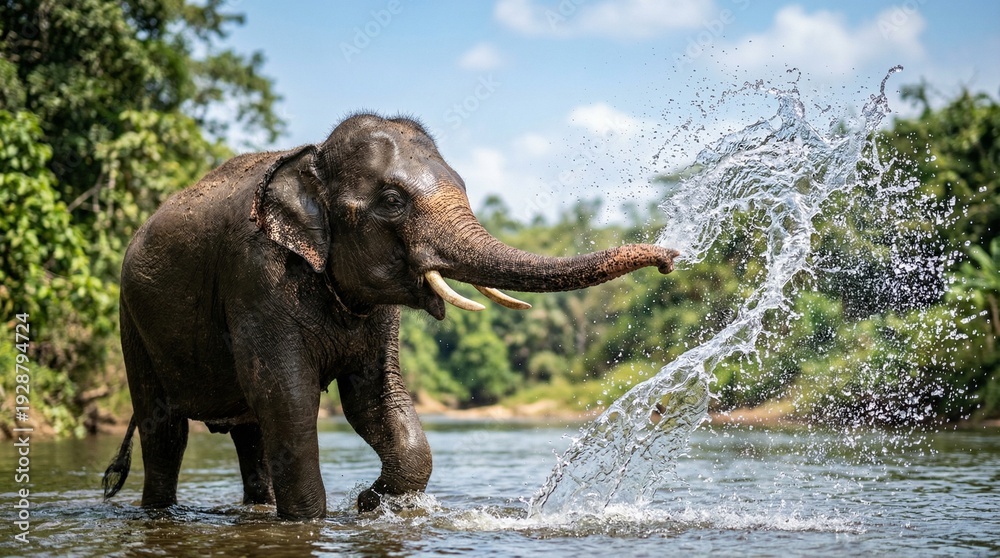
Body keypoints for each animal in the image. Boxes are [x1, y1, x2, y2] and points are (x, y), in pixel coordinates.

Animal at [101, 113, 679, 520]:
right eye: (393, 201)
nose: (671, 260)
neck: (312, 160)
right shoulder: (256, 279)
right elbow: (288, 399)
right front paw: (321, 517)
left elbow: (375, 399)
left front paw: (372, 504)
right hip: (132, 317)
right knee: (165, 429)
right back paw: (159, 511)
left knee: (248, 433)